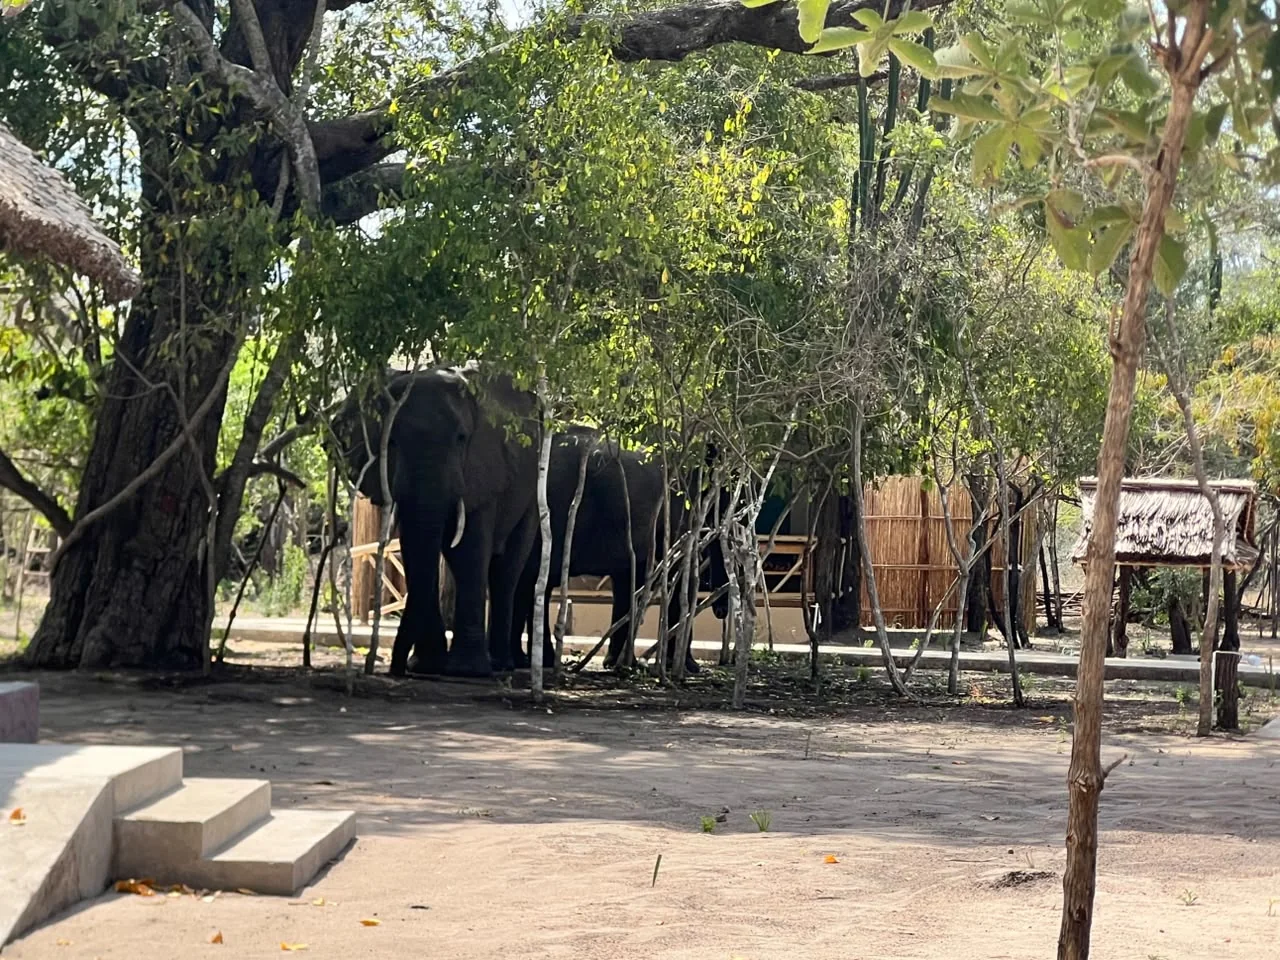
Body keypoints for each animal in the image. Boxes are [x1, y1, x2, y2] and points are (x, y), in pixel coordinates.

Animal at [334, 363, 539, 678]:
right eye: (391, 442)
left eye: (461, 438)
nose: (394, 669)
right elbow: (415, 549)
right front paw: (427, 666)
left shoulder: (484, 468)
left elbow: (468, 551)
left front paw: (467, 672)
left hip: (531, 492)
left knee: (507, 569)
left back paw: (501, 665)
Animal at [511, 427, 729, 673]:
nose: (721, 611)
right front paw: (689, 667)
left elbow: (627, 581)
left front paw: (617, 663)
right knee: (534, 581)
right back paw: (532, 661)